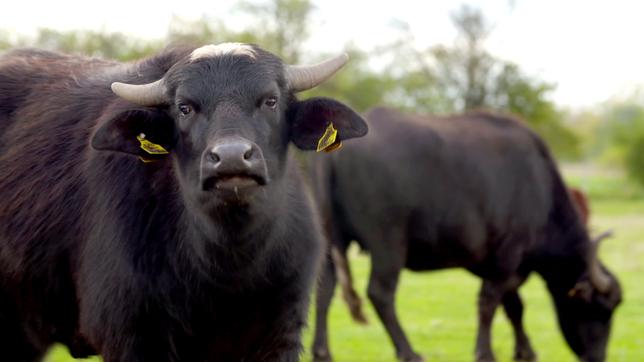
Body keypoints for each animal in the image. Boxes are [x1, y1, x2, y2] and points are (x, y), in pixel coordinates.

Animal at [0, 43, 368, 362]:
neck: (226, 267)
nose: (231, 158)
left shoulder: (281, 331)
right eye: (185, 107)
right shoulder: (130, 335)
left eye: (270, 100)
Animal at [310, 107, 620, 362]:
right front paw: (485, 352)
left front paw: (525, 351)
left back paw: (322, 352)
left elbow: (514, 306)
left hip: (332, 239)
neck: (540, 189)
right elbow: (489, 303)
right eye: (600, 308)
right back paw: (409, 352)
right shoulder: (508, 255)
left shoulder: (498, 265)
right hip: (388, 242)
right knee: (380, 293)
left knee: (325, 288)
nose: (598, 357)